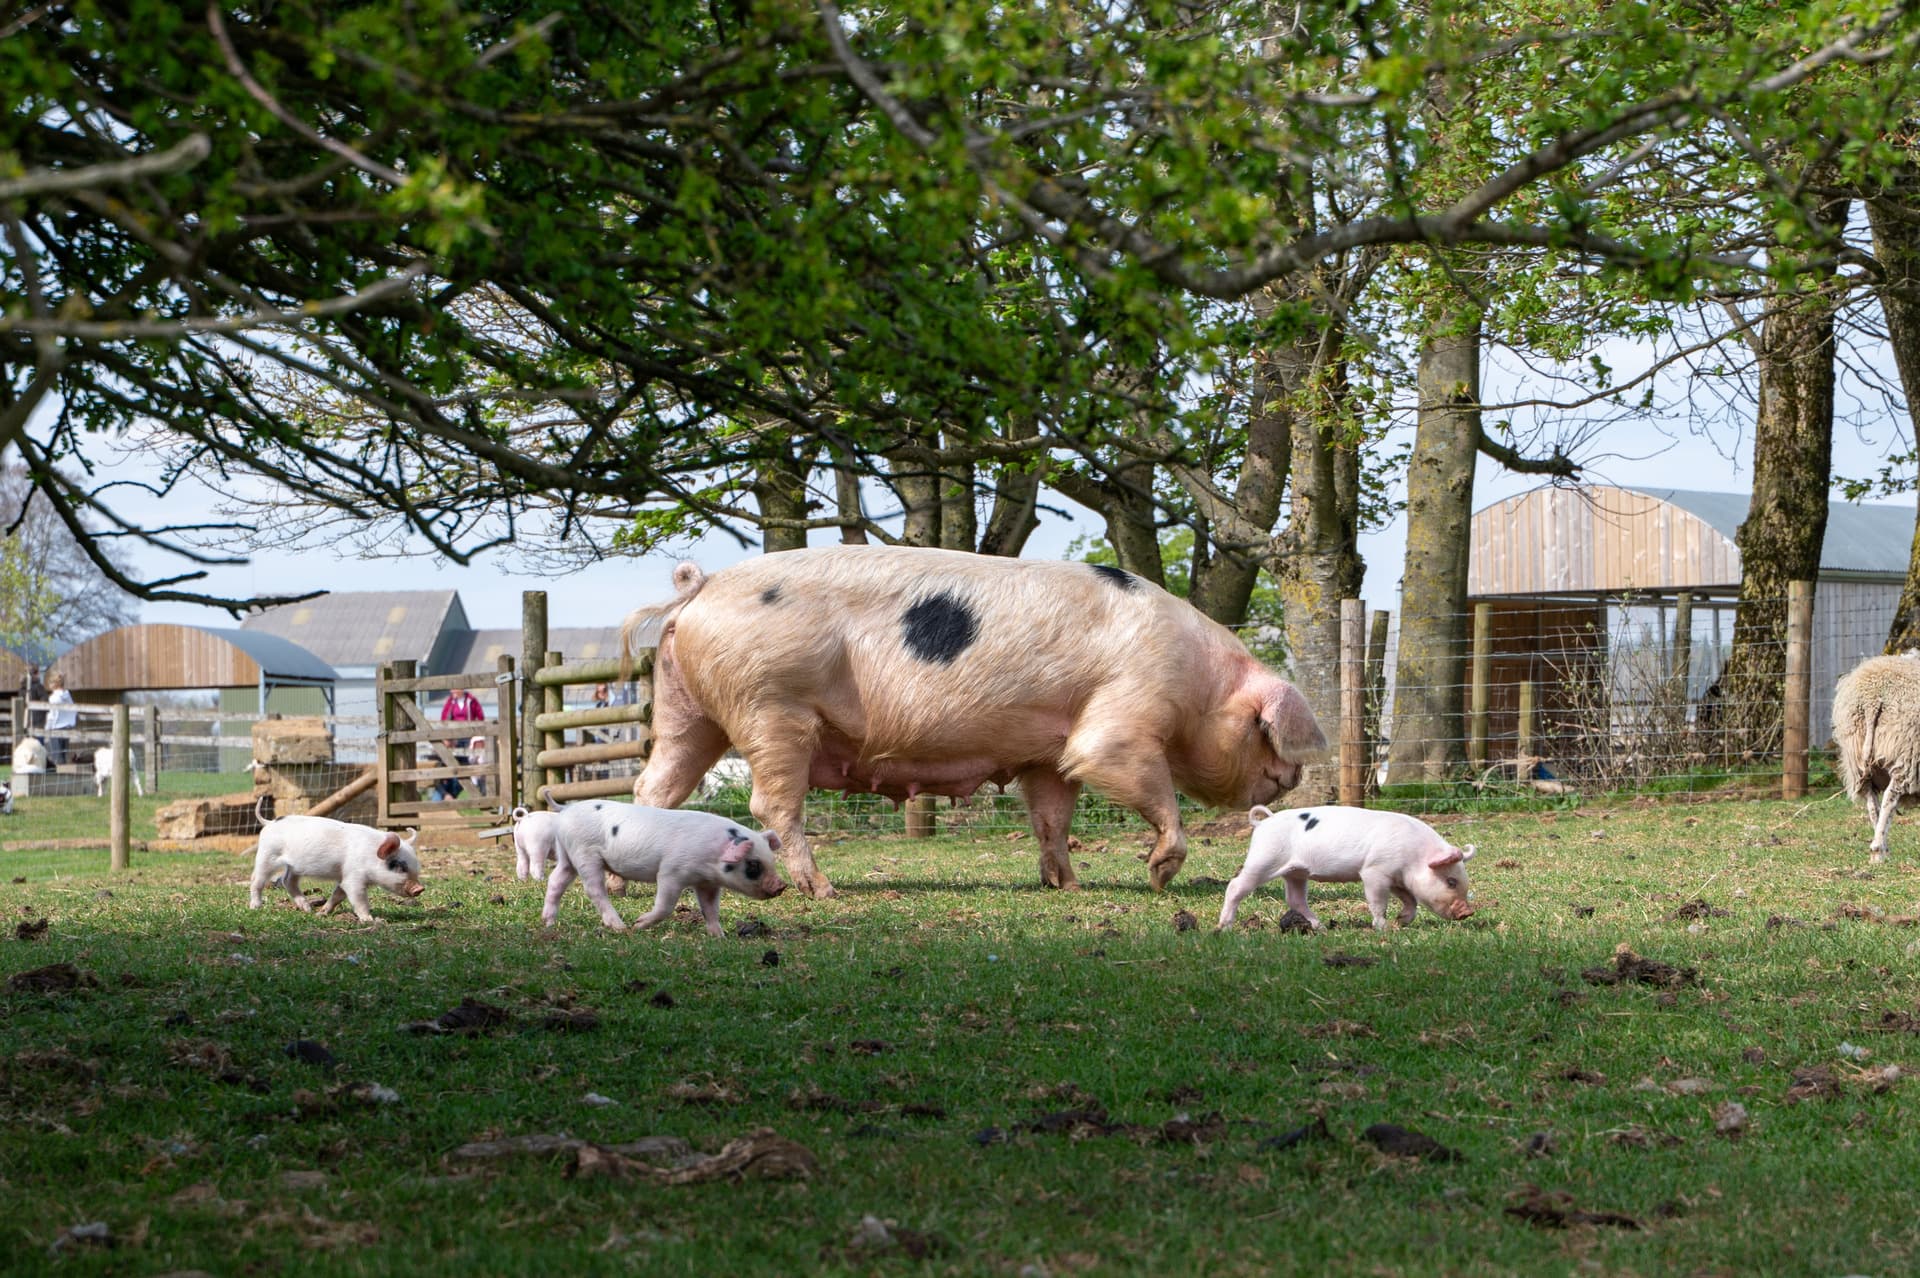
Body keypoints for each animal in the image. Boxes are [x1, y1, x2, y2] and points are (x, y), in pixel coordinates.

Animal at [248, 815, 424, 923]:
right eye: (399, 866)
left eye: (416, 866)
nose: (419, 888)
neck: (369, 856)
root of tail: (269, 823)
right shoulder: (353, 878)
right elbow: (359, 899)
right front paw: (370, 920)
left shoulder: (344, 877)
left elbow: (338, 895)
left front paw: (321, 913)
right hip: (267, 856)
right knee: (256, 880)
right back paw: (255, 907)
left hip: (295, 867)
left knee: (288, 881)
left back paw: (308, 909)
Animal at [540, 799, 785, 936]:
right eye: (753, 865)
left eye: (771, 861)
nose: (781, 886)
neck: (710, 858)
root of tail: (566, 809)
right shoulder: (671, 871)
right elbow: (666, 906)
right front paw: (638, 924)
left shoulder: (707, 882)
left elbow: (710, 909)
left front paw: (719, 936)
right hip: (585, 853)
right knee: (593, 889)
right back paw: (621, 927)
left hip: (567, 853)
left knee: (556, 881)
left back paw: (549, 923)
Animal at [624, 546, 1326, 898]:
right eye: (1266, 732)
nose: (1292, 779)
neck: (1199, 684)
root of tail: (699, 588)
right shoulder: (1121, 720)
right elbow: (1130, 776)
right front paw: (1157, 877)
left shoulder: (1047, 752)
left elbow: (1052, 817)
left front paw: (1066, 887)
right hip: (770, 704)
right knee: (772, 803)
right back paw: (822, 891)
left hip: (689, 710)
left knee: (654, 787)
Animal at [1217, 805, 1476, 931]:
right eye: (1451, 881)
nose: (1467, 912)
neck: (1415, 856)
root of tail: (1263, 822)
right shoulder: (1374, 870)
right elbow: (1378, 902)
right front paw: (1384, 928)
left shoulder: (1396, 878)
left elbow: (1411, 900)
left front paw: (1400, 922)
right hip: (1264, 859)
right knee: (1236, 886)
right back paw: (1224, 927)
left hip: (1295, 872)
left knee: (1295, 899)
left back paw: (1321, 927)